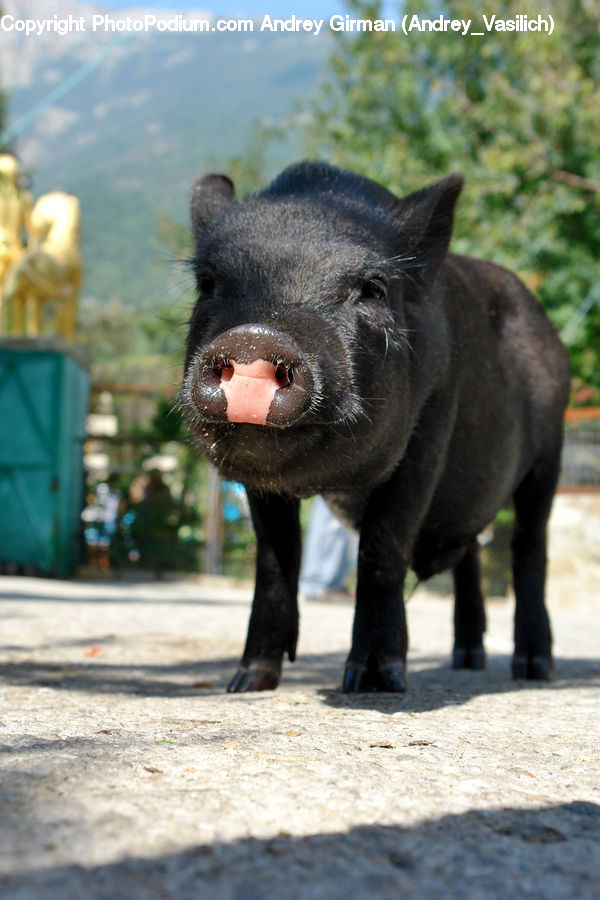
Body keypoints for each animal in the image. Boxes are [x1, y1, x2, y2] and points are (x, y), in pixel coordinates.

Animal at [181, 161, 570, 693]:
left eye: (373, 288)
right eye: (208, 283)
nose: (255, 337)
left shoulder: (431, 427)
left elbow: (382, 548)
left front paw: (375, 682)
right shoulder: (259, 482)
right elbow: (275, 559)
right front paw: (247, 683)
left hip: (549, 451)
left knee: (529, 547)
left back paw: (533, 669)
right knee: (471, 552)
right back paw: (466, 661)